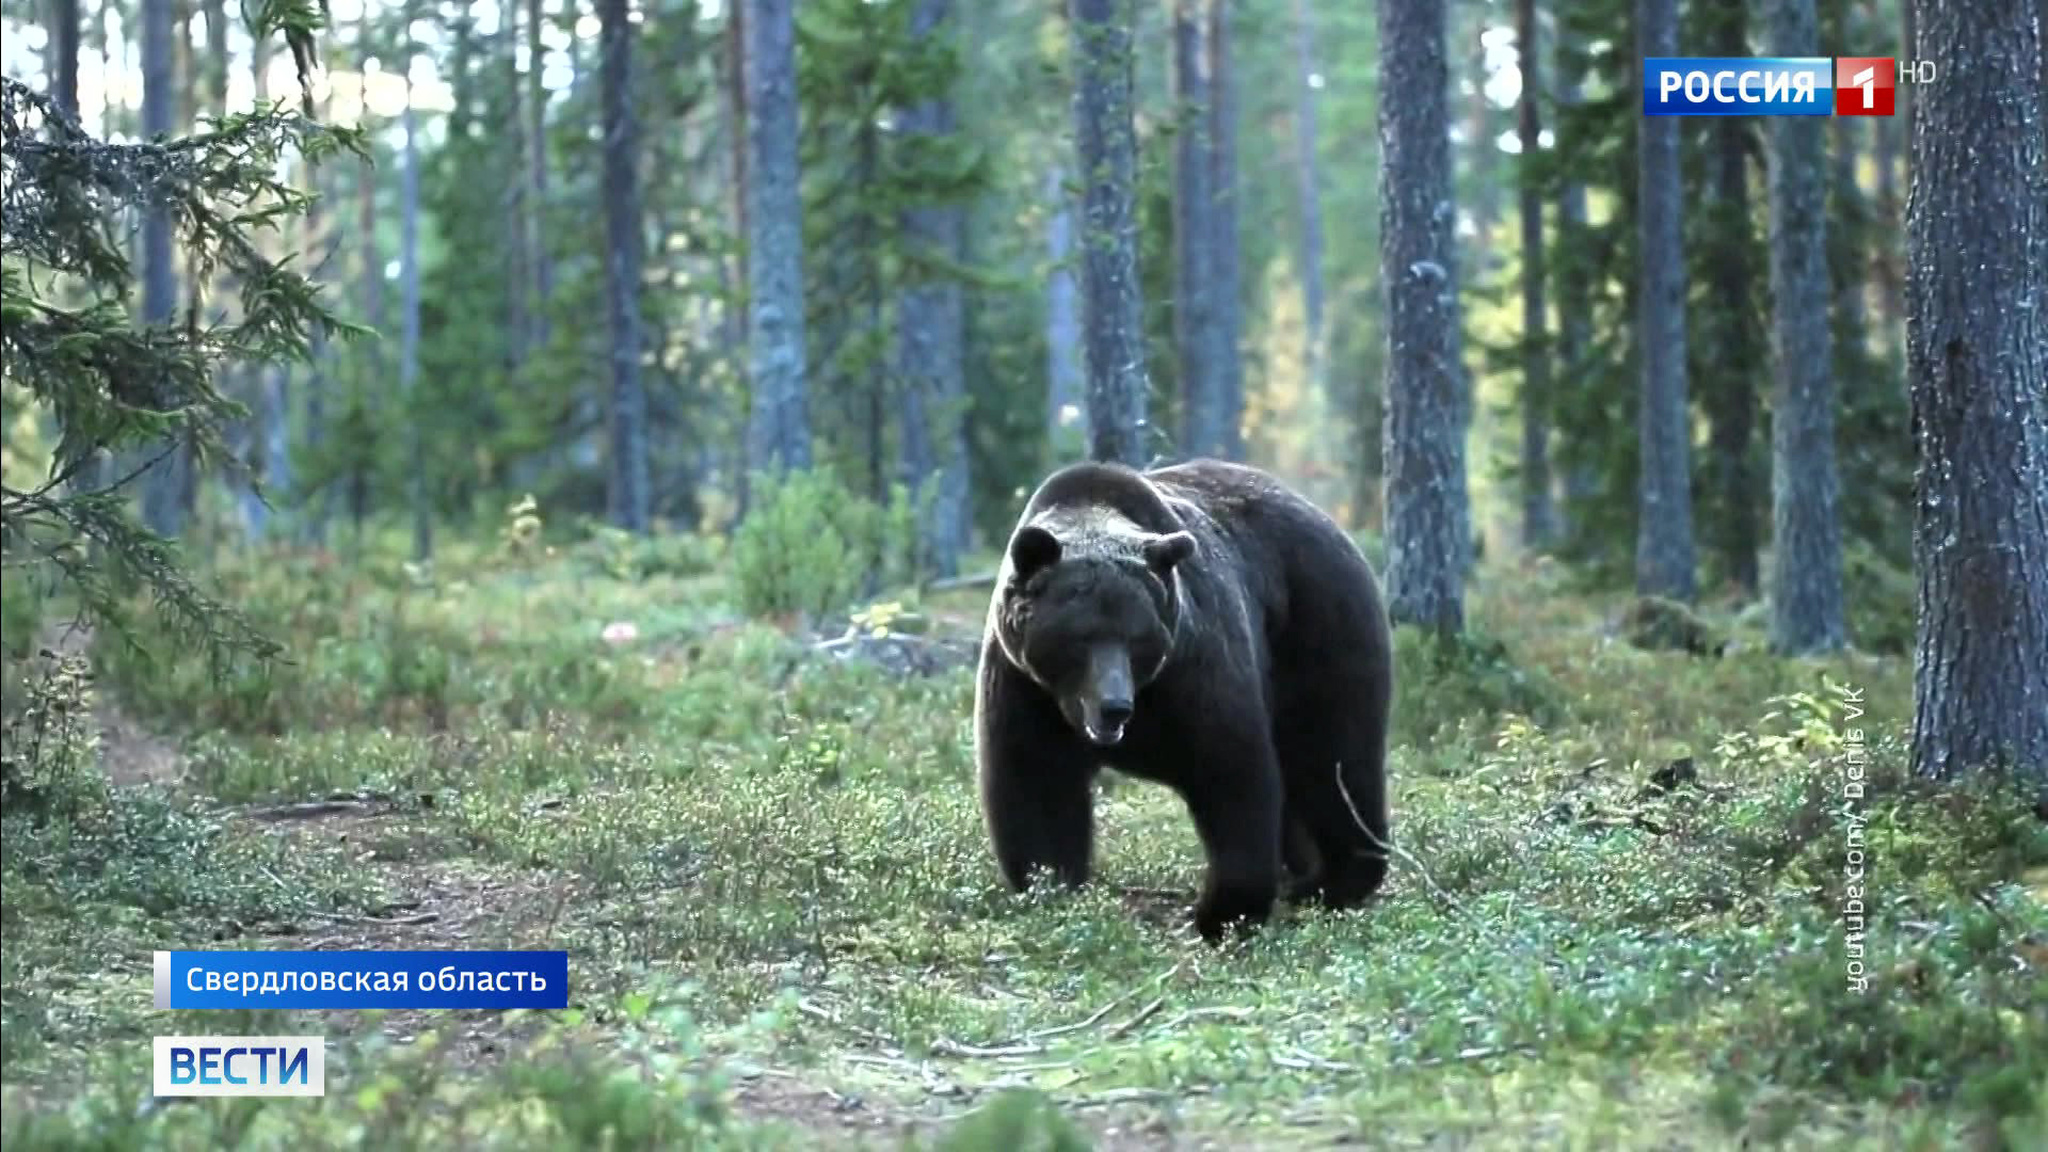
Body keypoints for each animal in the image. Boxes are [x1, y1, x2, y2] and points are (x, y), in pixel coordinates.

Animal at [973, 457, 1393, 943]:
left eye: (1137, 637)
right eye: (1079, 636)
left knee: (1333, 759)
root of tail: (1326, 520)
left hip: (1319, 629)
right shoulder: (1026, 688)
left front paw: (1223, 912)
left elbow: (1232, 774)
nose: (1115, 706)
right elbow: (1035, 785)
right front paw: (1052, 888)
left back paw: (1331, 881)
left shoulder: (1193, 670)